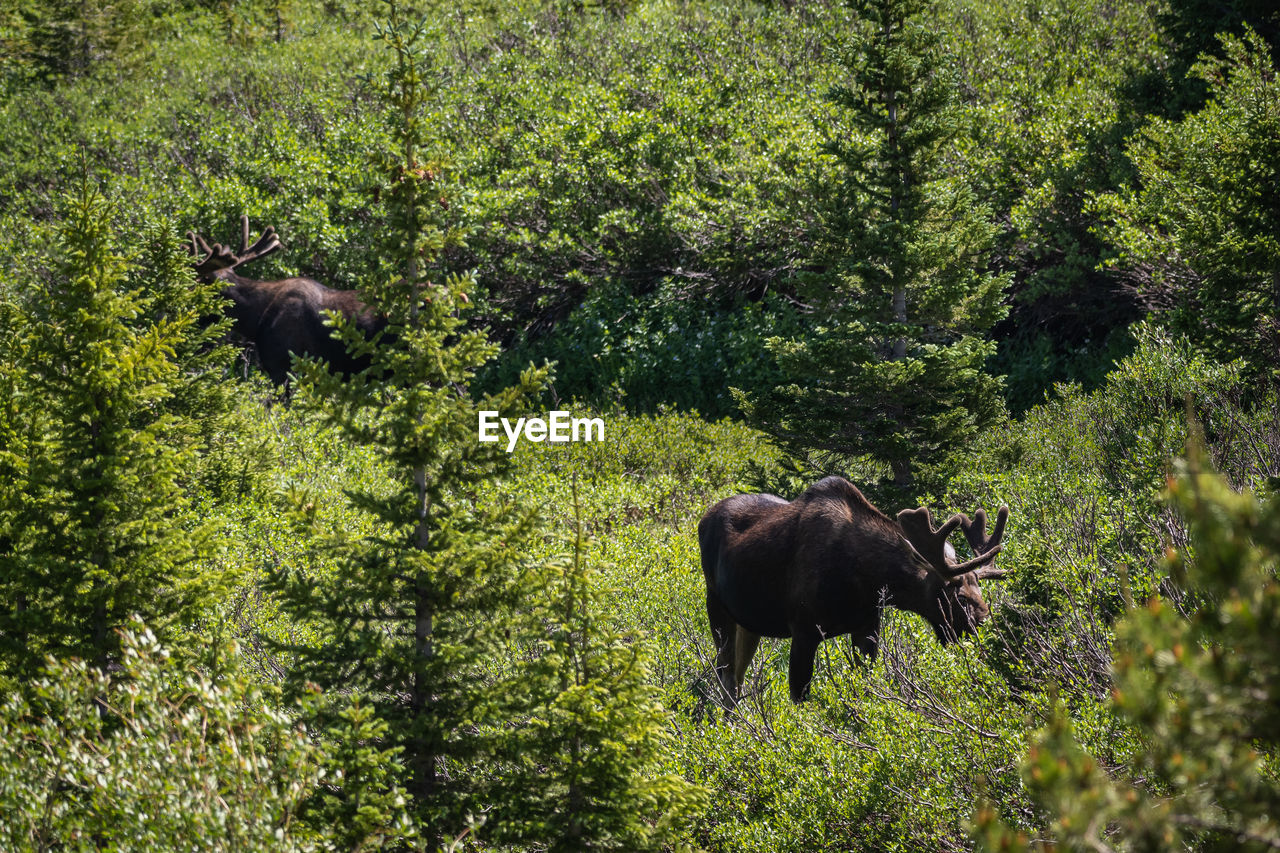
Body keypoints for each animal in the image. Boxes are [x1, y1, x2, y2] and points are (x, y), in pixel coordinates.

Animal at [701, 471, 1008, 701]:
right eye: (958, 595)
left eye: (980, 590)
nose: (984, 623)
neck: (866, 580)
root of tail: (703, 518)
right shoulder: (804, 631)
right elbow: (800, 698)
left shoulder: (867, 627)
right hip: (716, 605)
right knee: (726, 676)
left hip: (749, 622)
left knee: (738, 676)